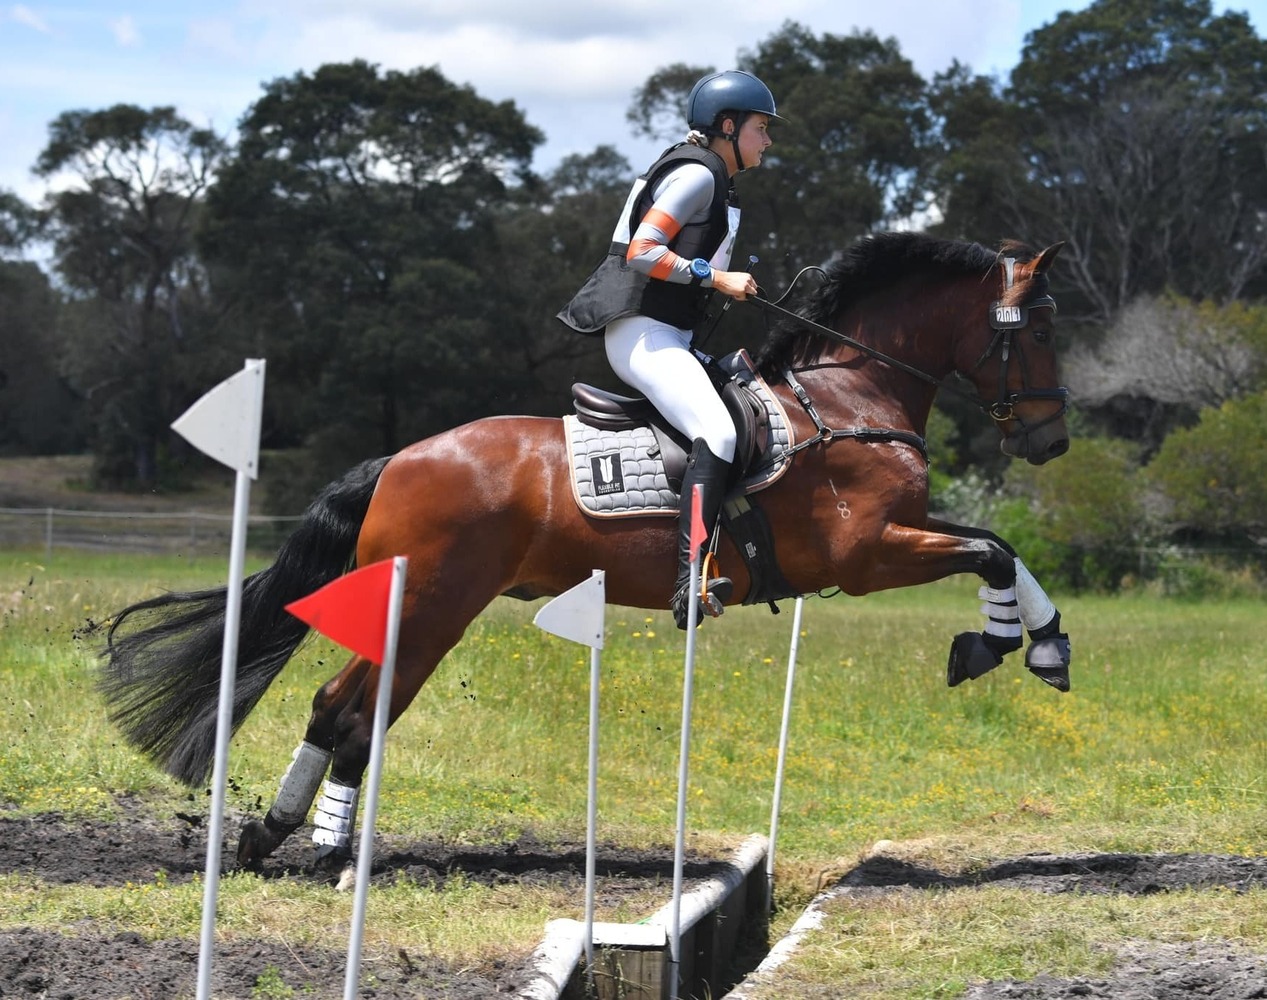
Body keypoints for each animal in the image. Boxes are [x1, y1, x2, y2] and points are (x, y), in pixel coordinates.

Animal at [98, 230, 1073, 871]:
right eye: (1036, 331)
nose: (1050, 440)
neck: (847, 397)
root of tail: (398, 461)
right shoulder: (864, 557)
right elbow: (990, 552)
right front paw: (998, 646)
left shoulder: (895, 541)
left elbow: (999, 545)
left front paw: (1040, 644)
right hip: (432, 608)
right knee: (349, 712)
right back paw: (324, 850)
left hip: (422, 610)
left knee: (340, 709)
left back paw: (279, 837)